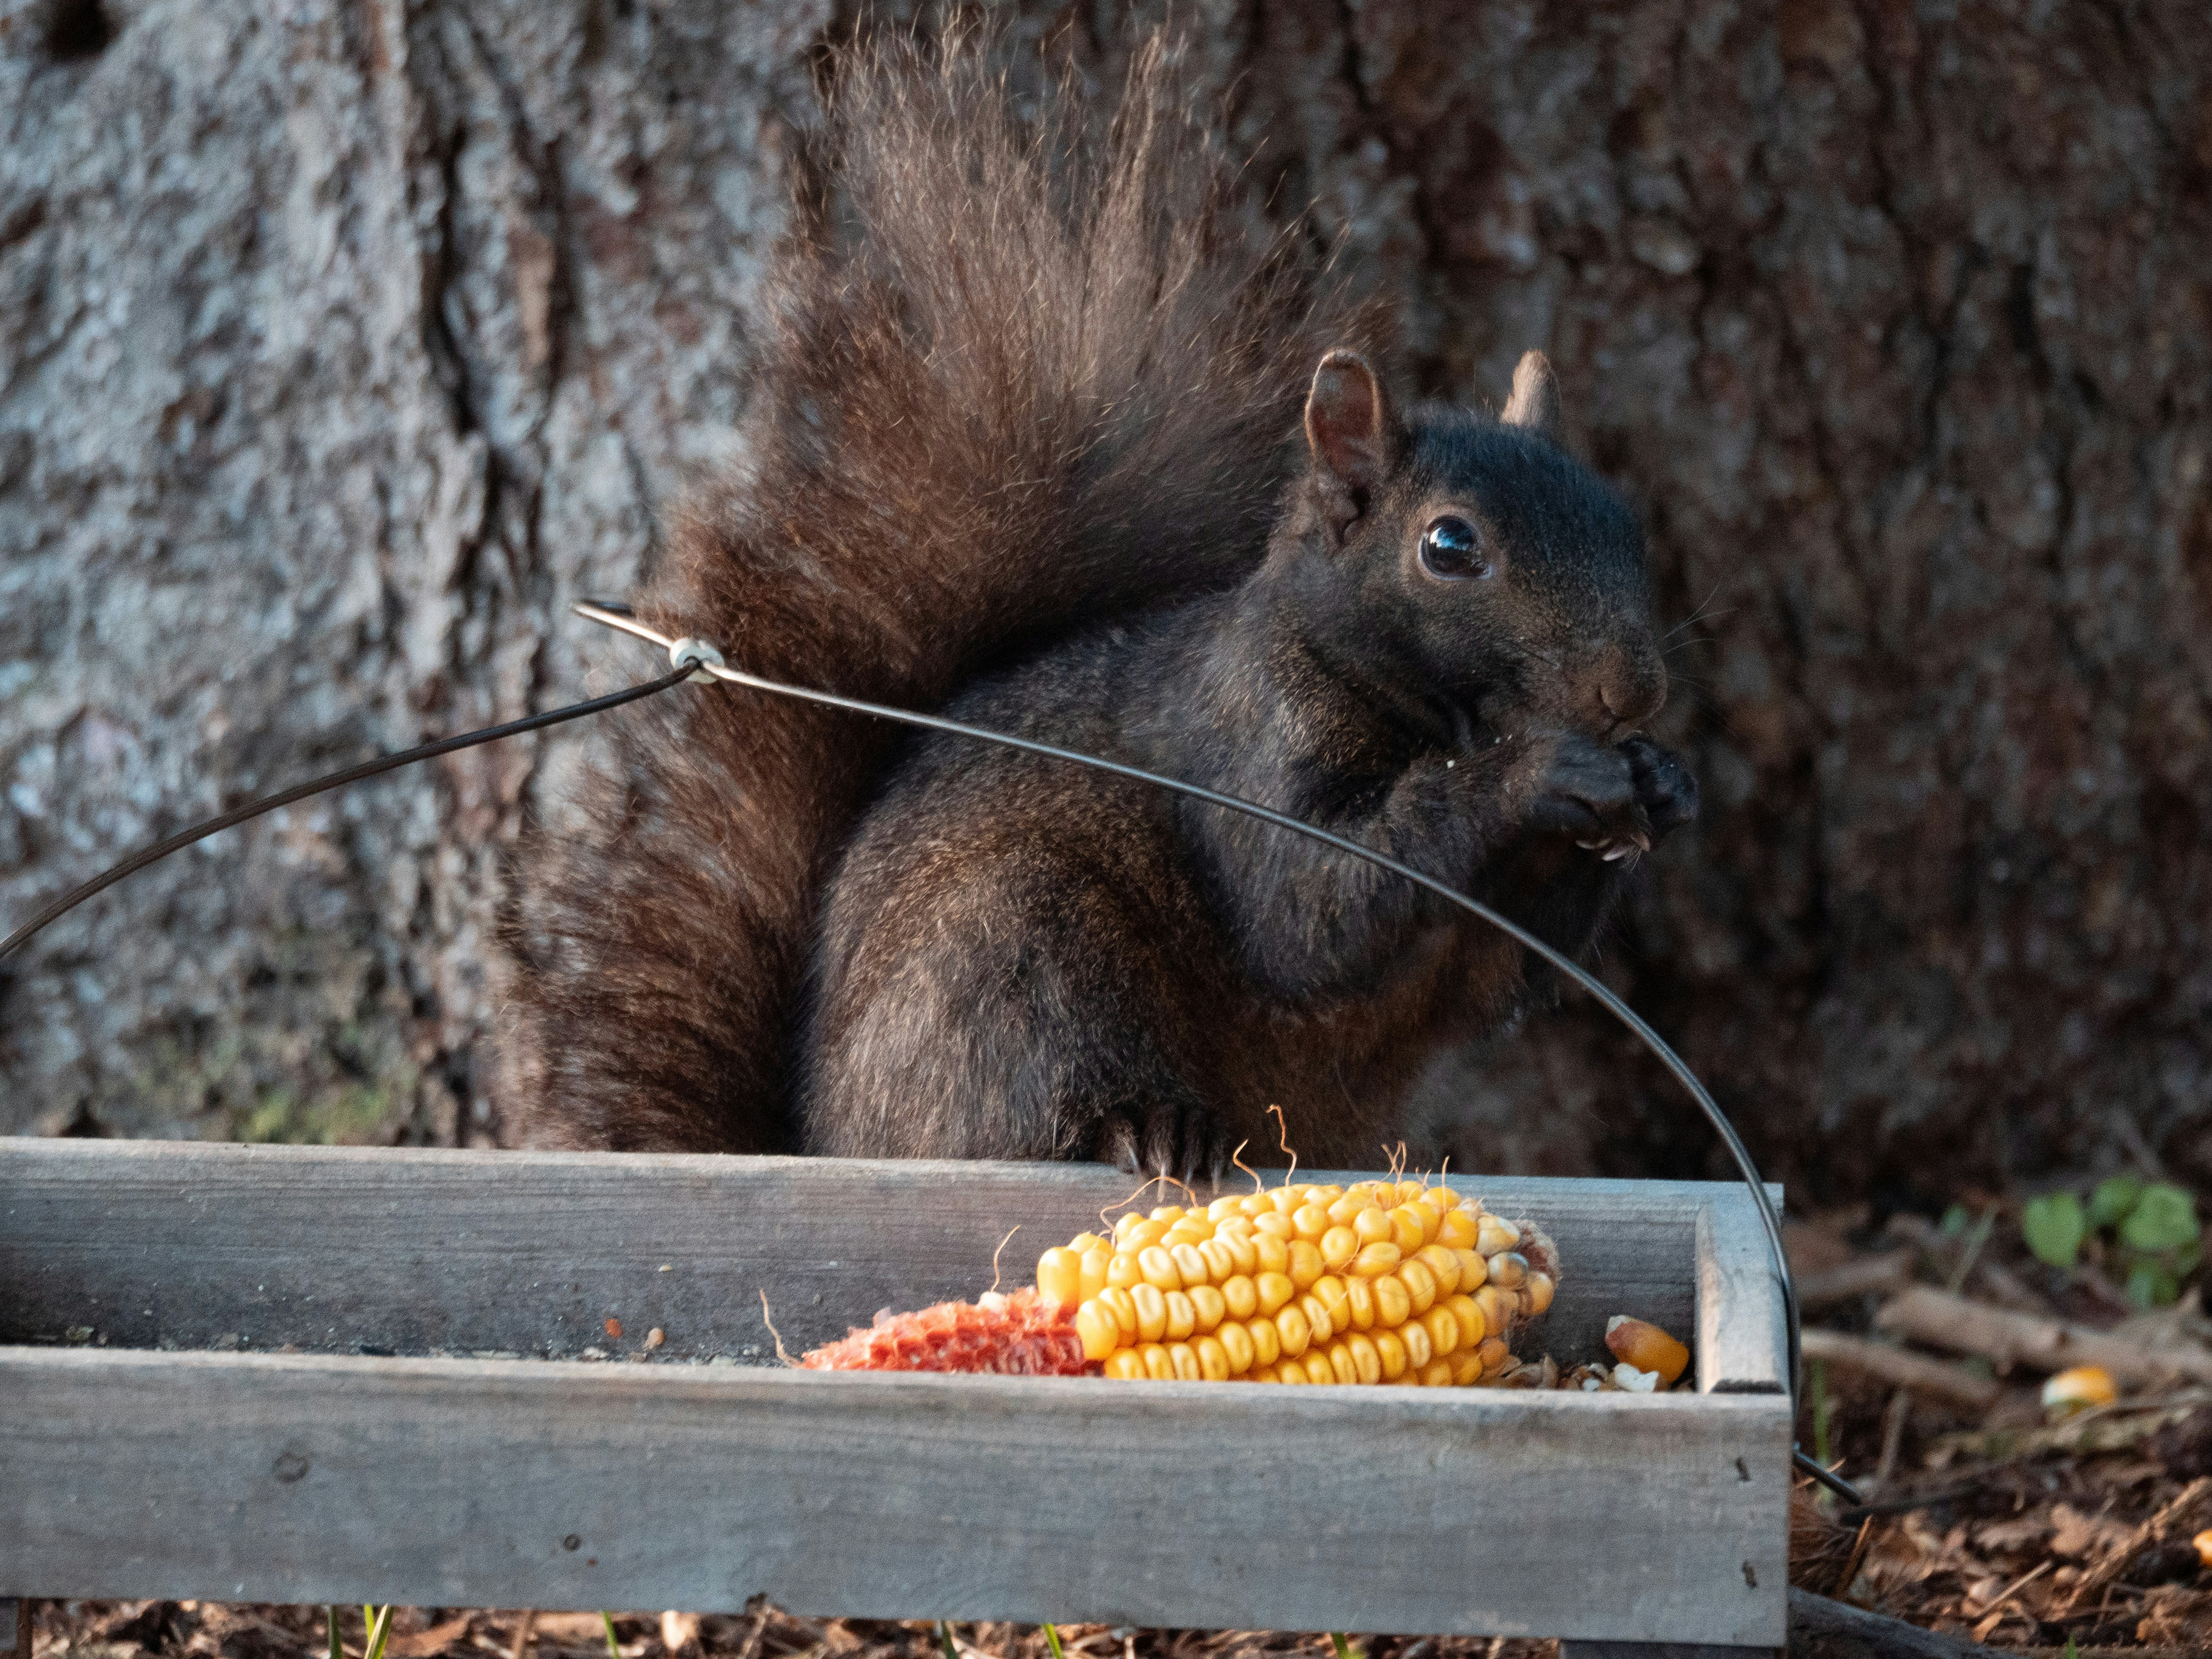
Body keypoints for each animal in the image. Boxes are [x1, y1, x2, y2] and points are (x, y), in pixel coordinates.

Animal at [505, 27, 1698, 1176]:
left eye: (1621, 519)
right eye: (1449, 546)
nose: (1632, 692)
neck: (1422, 709)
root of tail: (821, 1136)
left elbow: (1503, 970)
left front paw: (1658, 779)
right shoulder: (1245, 746)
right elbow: (1309, 907)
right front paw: (1539, 771)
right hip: (1014, 948)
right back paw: (1144, 1127)